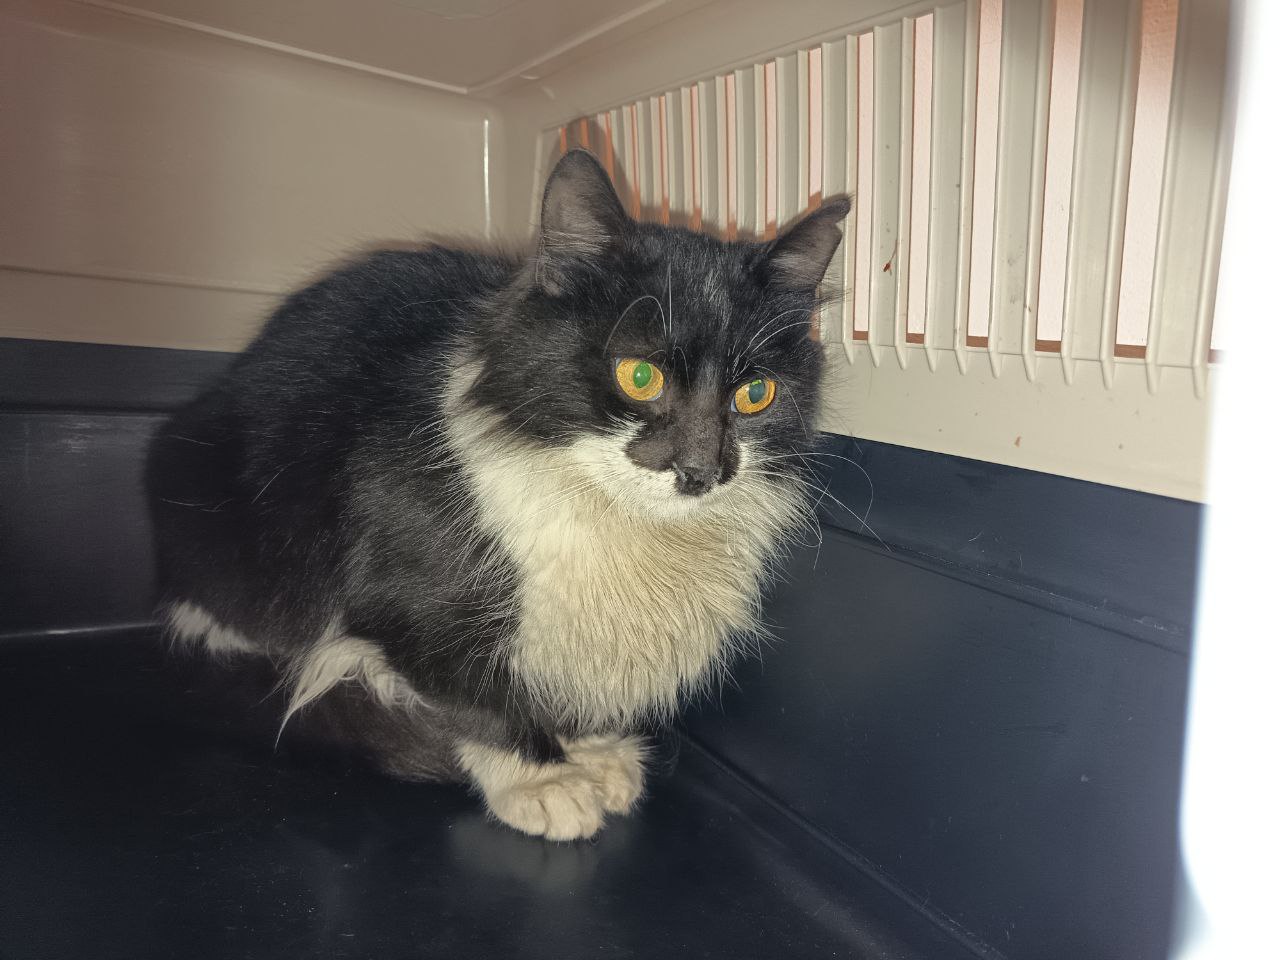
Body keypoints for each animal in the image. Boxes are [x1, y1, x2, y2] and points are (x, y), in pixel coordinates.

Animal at [146, 149, 849, 840]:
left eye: (755, 395)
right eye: (639, 376)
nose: (700, 471)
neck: (622, 521)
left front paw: (591, 751)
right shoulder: (405, 599)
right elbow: (470, 690)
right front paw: (541, 779)